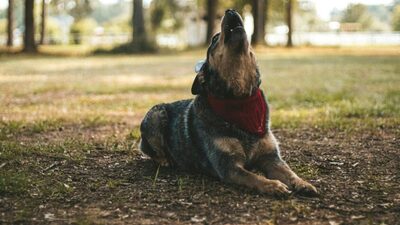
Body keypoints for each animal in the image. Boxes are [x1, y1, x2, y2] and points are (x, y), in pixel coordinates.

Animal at [141, 9, 318, 197]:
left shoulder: (271, 157)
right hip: (155, 114)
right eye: (214, 38)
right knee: (151, 151)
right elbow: (254, 177)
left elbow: (289, 172)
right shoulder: (228, 165)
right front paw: (273, 185)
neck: (240, 98)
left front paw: (302, 183)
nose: (230, 10)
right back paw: (165, 159)